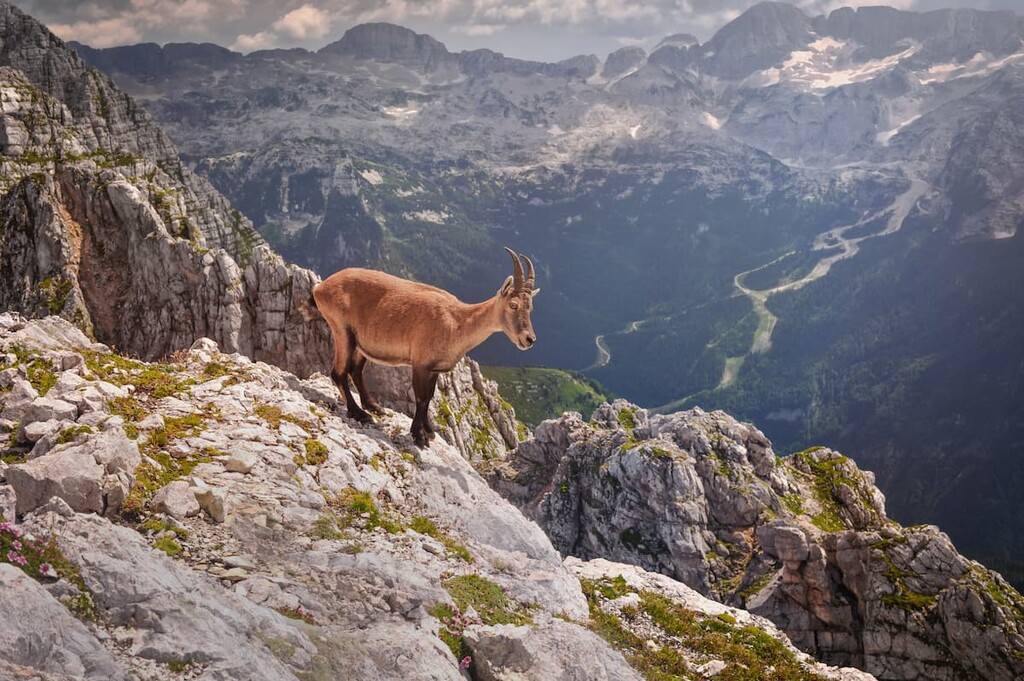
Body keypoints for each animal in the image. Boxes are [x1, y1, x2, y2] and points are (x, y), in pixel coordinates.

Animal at [311, 248, 540, 447]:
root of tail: (320, 288)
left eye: (531, 307)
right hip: (342, 331)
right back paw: (359, 413)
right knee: (339, 372)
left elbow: (428, 397)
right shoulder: (420, 363)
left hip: (361, 344)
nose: (529, 339)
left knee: (356, 371)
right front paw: (418, 436)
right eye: (513, 305)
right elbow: (421, 398)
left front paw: (428, 430)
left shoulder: (434, 368)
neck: (457, 322)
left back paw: (374, 407)